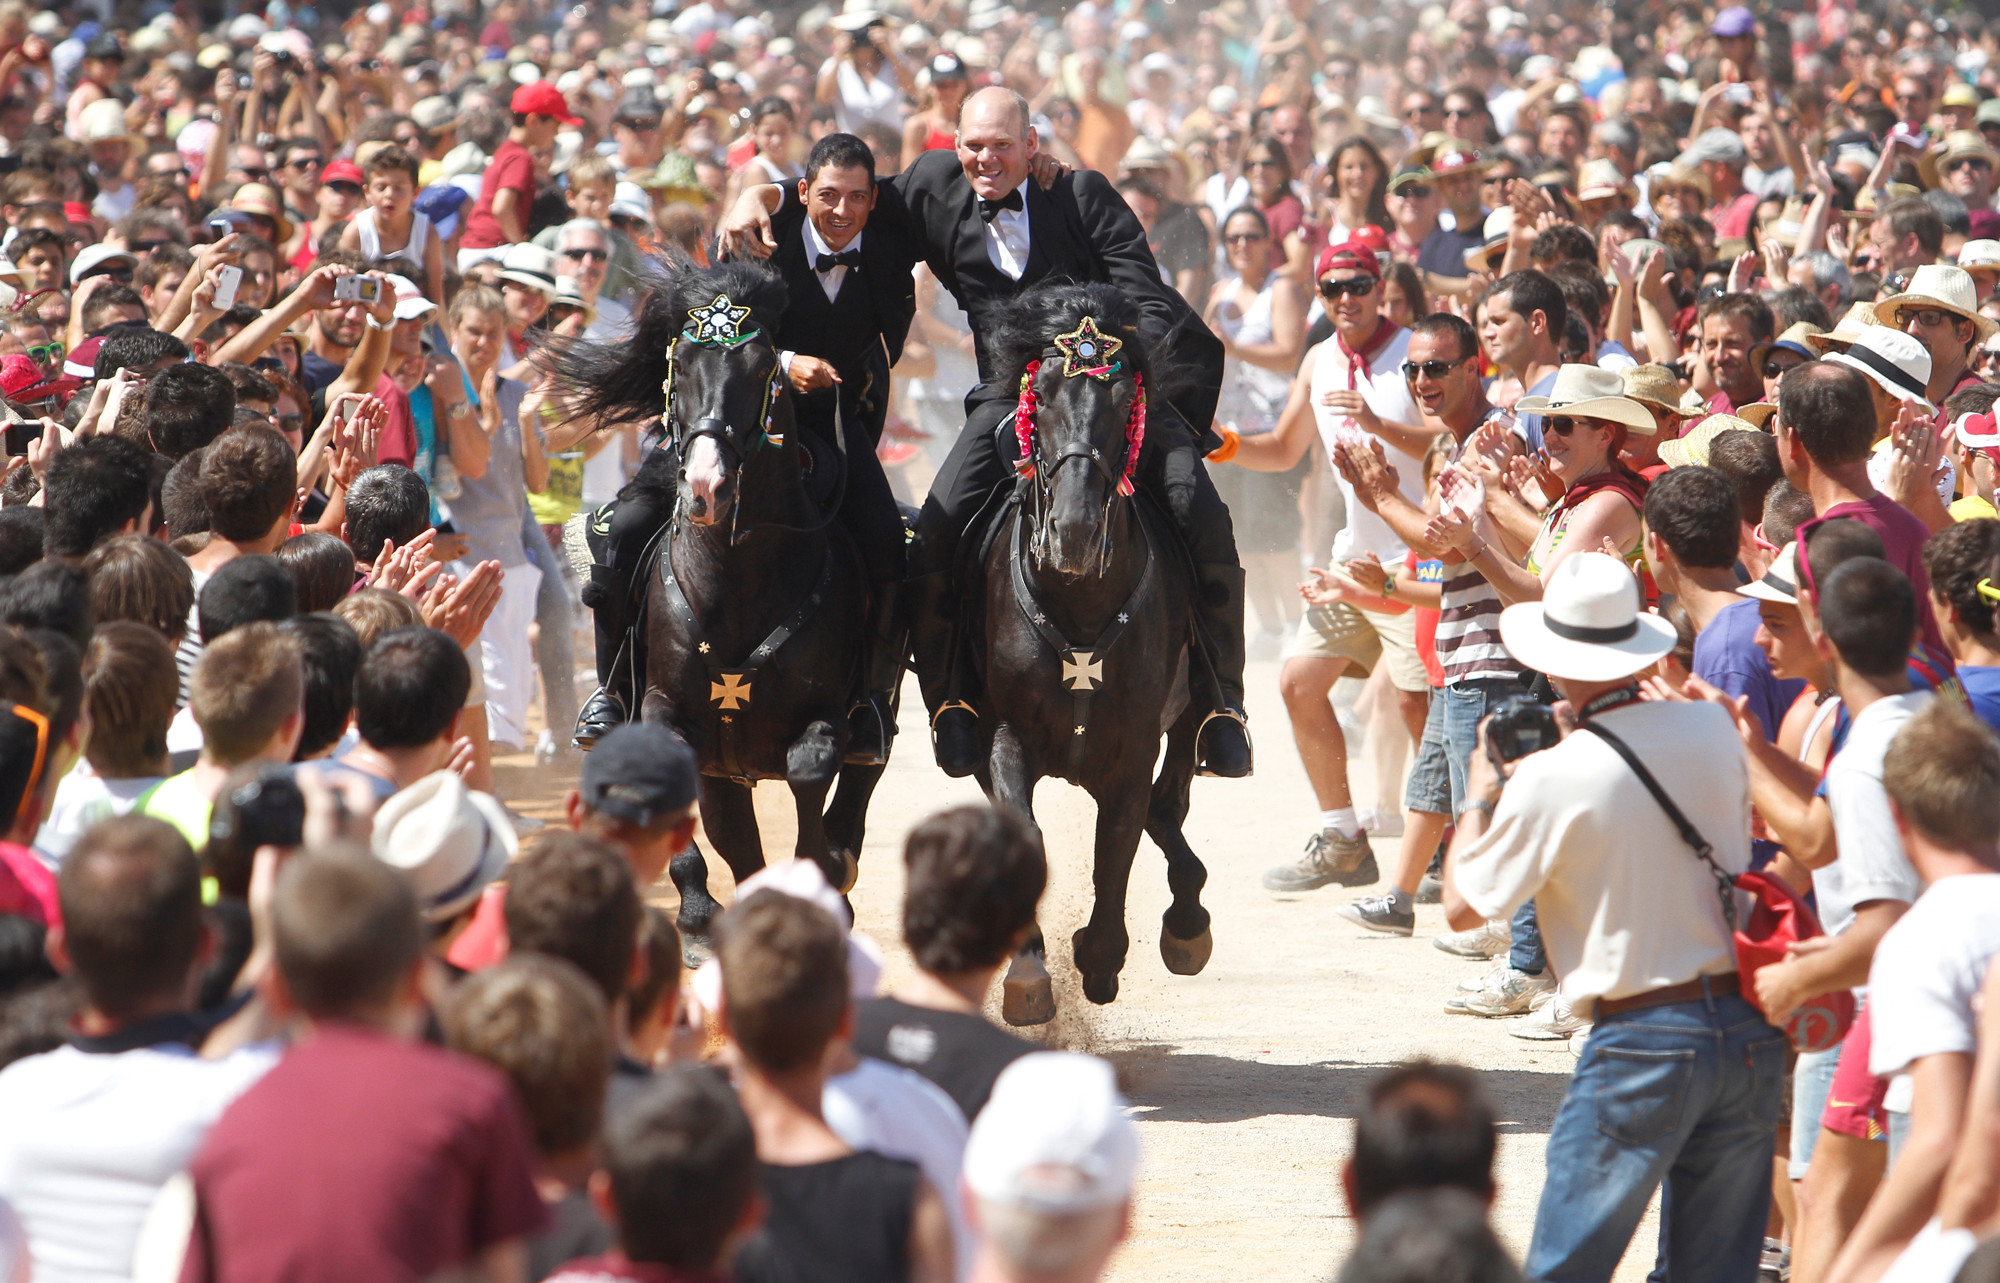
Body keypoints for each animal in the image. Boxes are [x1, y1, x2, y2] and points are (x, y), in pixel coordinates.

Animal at [552, 261, 888, 939]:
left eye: (761, 371)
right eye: (680, 368)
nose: (706, 487)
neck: (735, 581)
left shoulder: (822, 721)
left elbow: (810, 775)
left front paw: (821, 877)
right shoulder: (670, 712)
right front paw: (698, 913)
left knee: (859, 780)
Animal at [924, 279, 1208, 1019]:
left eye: (1125, 399)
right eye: (1043, 394)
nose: (1073, 533)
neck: (1079, 606)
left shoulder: (1133, 751)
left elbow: (1119, 848)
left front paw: (1100, 955)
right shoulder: (1005, 739)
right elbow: (1022, 838)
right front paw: (1027, 972)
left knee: (1172, 800)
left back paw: (1187, 921)